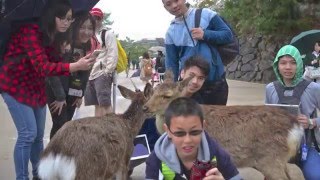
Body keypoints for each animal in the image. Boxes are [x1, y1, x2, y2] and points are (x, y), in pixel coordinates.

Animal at [144, 71, 304, 180]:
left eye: (167, 96)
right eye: (154, 91)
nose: (146, 107)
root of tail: (295, 127)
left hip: (270, 158)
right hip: (279, 160)